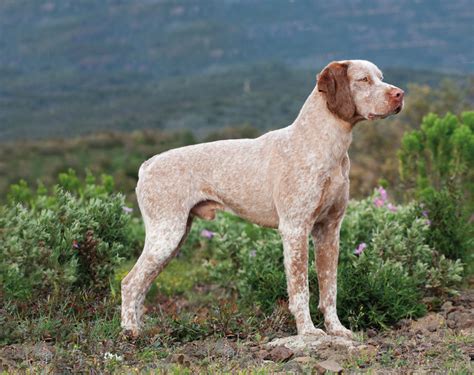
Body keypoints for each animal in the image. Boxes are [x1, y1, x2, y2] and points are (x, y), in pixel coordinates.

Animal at [121, 60, 404, 340]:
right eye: (363, 80)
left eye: (380, 77)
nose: (400, 94)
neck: (323, 145)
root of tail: (146, 165)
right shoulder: (295, 229)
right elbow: (301, 289)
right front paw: (308, 331)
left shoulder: (329, 230)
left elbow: (329, 288)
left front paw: (337, 329)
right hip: (166, 234)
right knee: (129, 282)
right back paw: (130, 331)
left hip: (174, 238)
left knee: (142, 285)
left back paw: (142, 329)